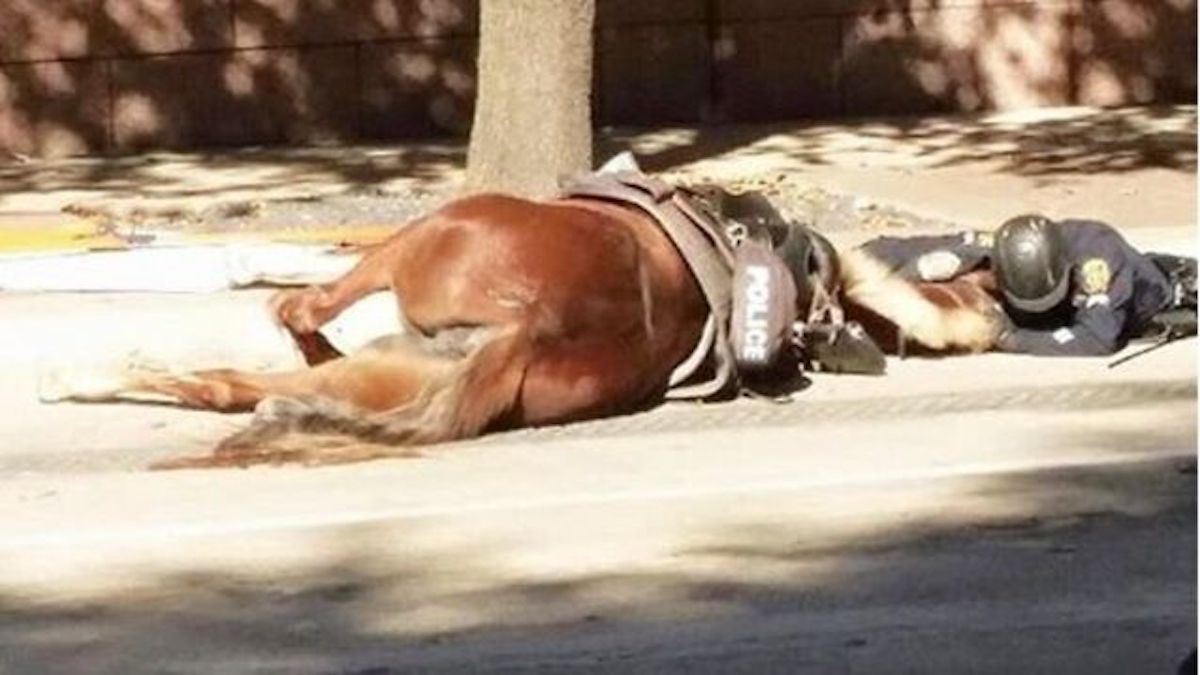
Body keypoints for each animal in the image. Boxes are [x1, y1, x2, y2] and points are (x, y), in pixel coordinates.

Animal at [42, 176, 998, 466]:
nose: (990, 312)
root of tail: (524, 329)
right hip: (387, 360)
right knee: (235, 383)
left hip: (413, 244)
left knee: (290, 317)